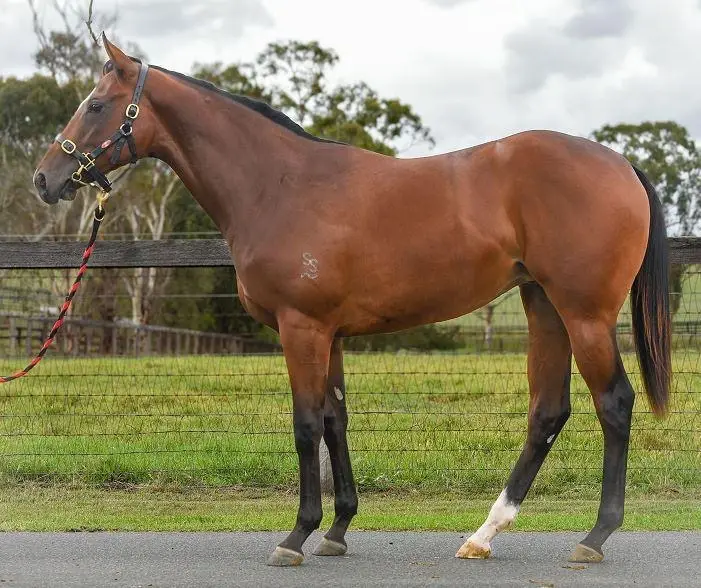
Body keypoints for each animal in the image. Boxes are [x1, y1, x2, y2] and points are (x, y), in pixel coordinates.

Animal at [33, 34, 671, 567]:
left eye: (97, 105)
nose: (45, 178)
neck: (279, 185)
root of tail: (621, 164)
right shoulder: (331, 334)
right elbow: (335, 421)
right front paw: (338, 530)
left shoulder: (302, 328)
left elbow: (304, 424)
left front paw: (296, 535)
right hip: (544, 307)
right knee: (548, 411)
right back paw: (484, 535)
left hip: (584, 314)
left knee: (614, 403)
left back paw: (594, 536)